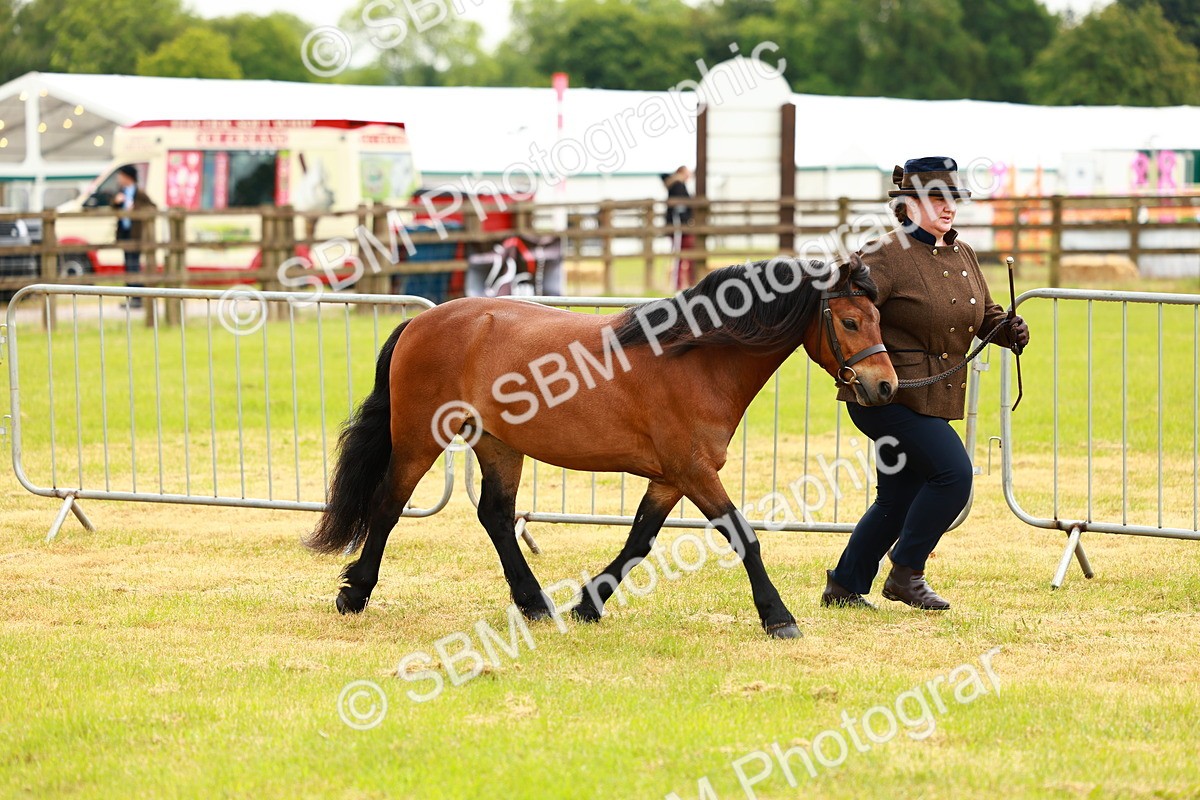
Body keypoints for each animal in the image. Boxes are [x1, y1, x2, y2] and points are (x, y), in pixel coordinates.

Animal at [306, 253, 896, 639]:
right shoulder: (694, 471)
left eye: (879, 318)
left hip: (499, 445)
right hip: (418, 438)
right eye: (849, 321)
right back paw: (354, 593)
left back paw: (536, 604)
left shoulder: (670, 478)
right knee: (387, 506)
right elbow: (742, 536)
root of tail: (421, 321)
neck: (697, 358)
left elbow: (639, 541)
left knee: (494, 516)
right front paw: (779, 618)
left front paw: (588, 605)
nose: (885, 386)